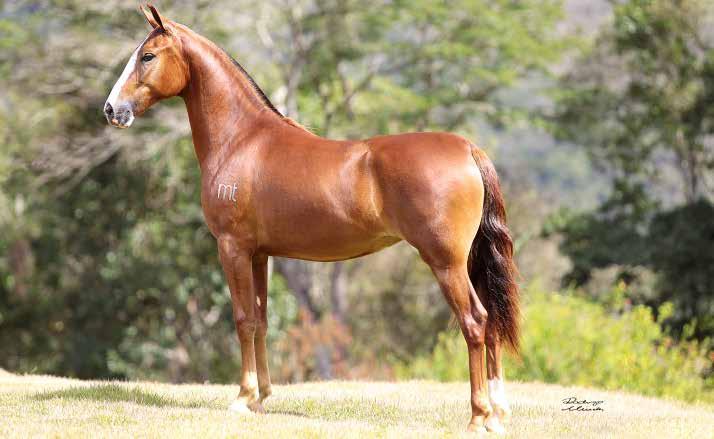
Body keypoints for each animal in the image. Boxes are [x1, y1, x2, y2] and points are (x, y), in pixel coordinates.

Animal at [104, 5, 516, 434]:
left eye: (147, 56)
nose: (111, 110)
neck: (242, 140)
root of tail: (467, 149)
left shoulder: (233, 248)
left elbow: (242, 319)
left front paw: (243, 398)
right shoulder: (260, 254)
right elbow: (261, 319)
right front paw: (262, 398)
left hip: (445, 262)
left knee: (474, 322)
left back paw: (478, 417)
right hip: (467, 261)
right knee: (491, 322)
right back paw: (499, 415)